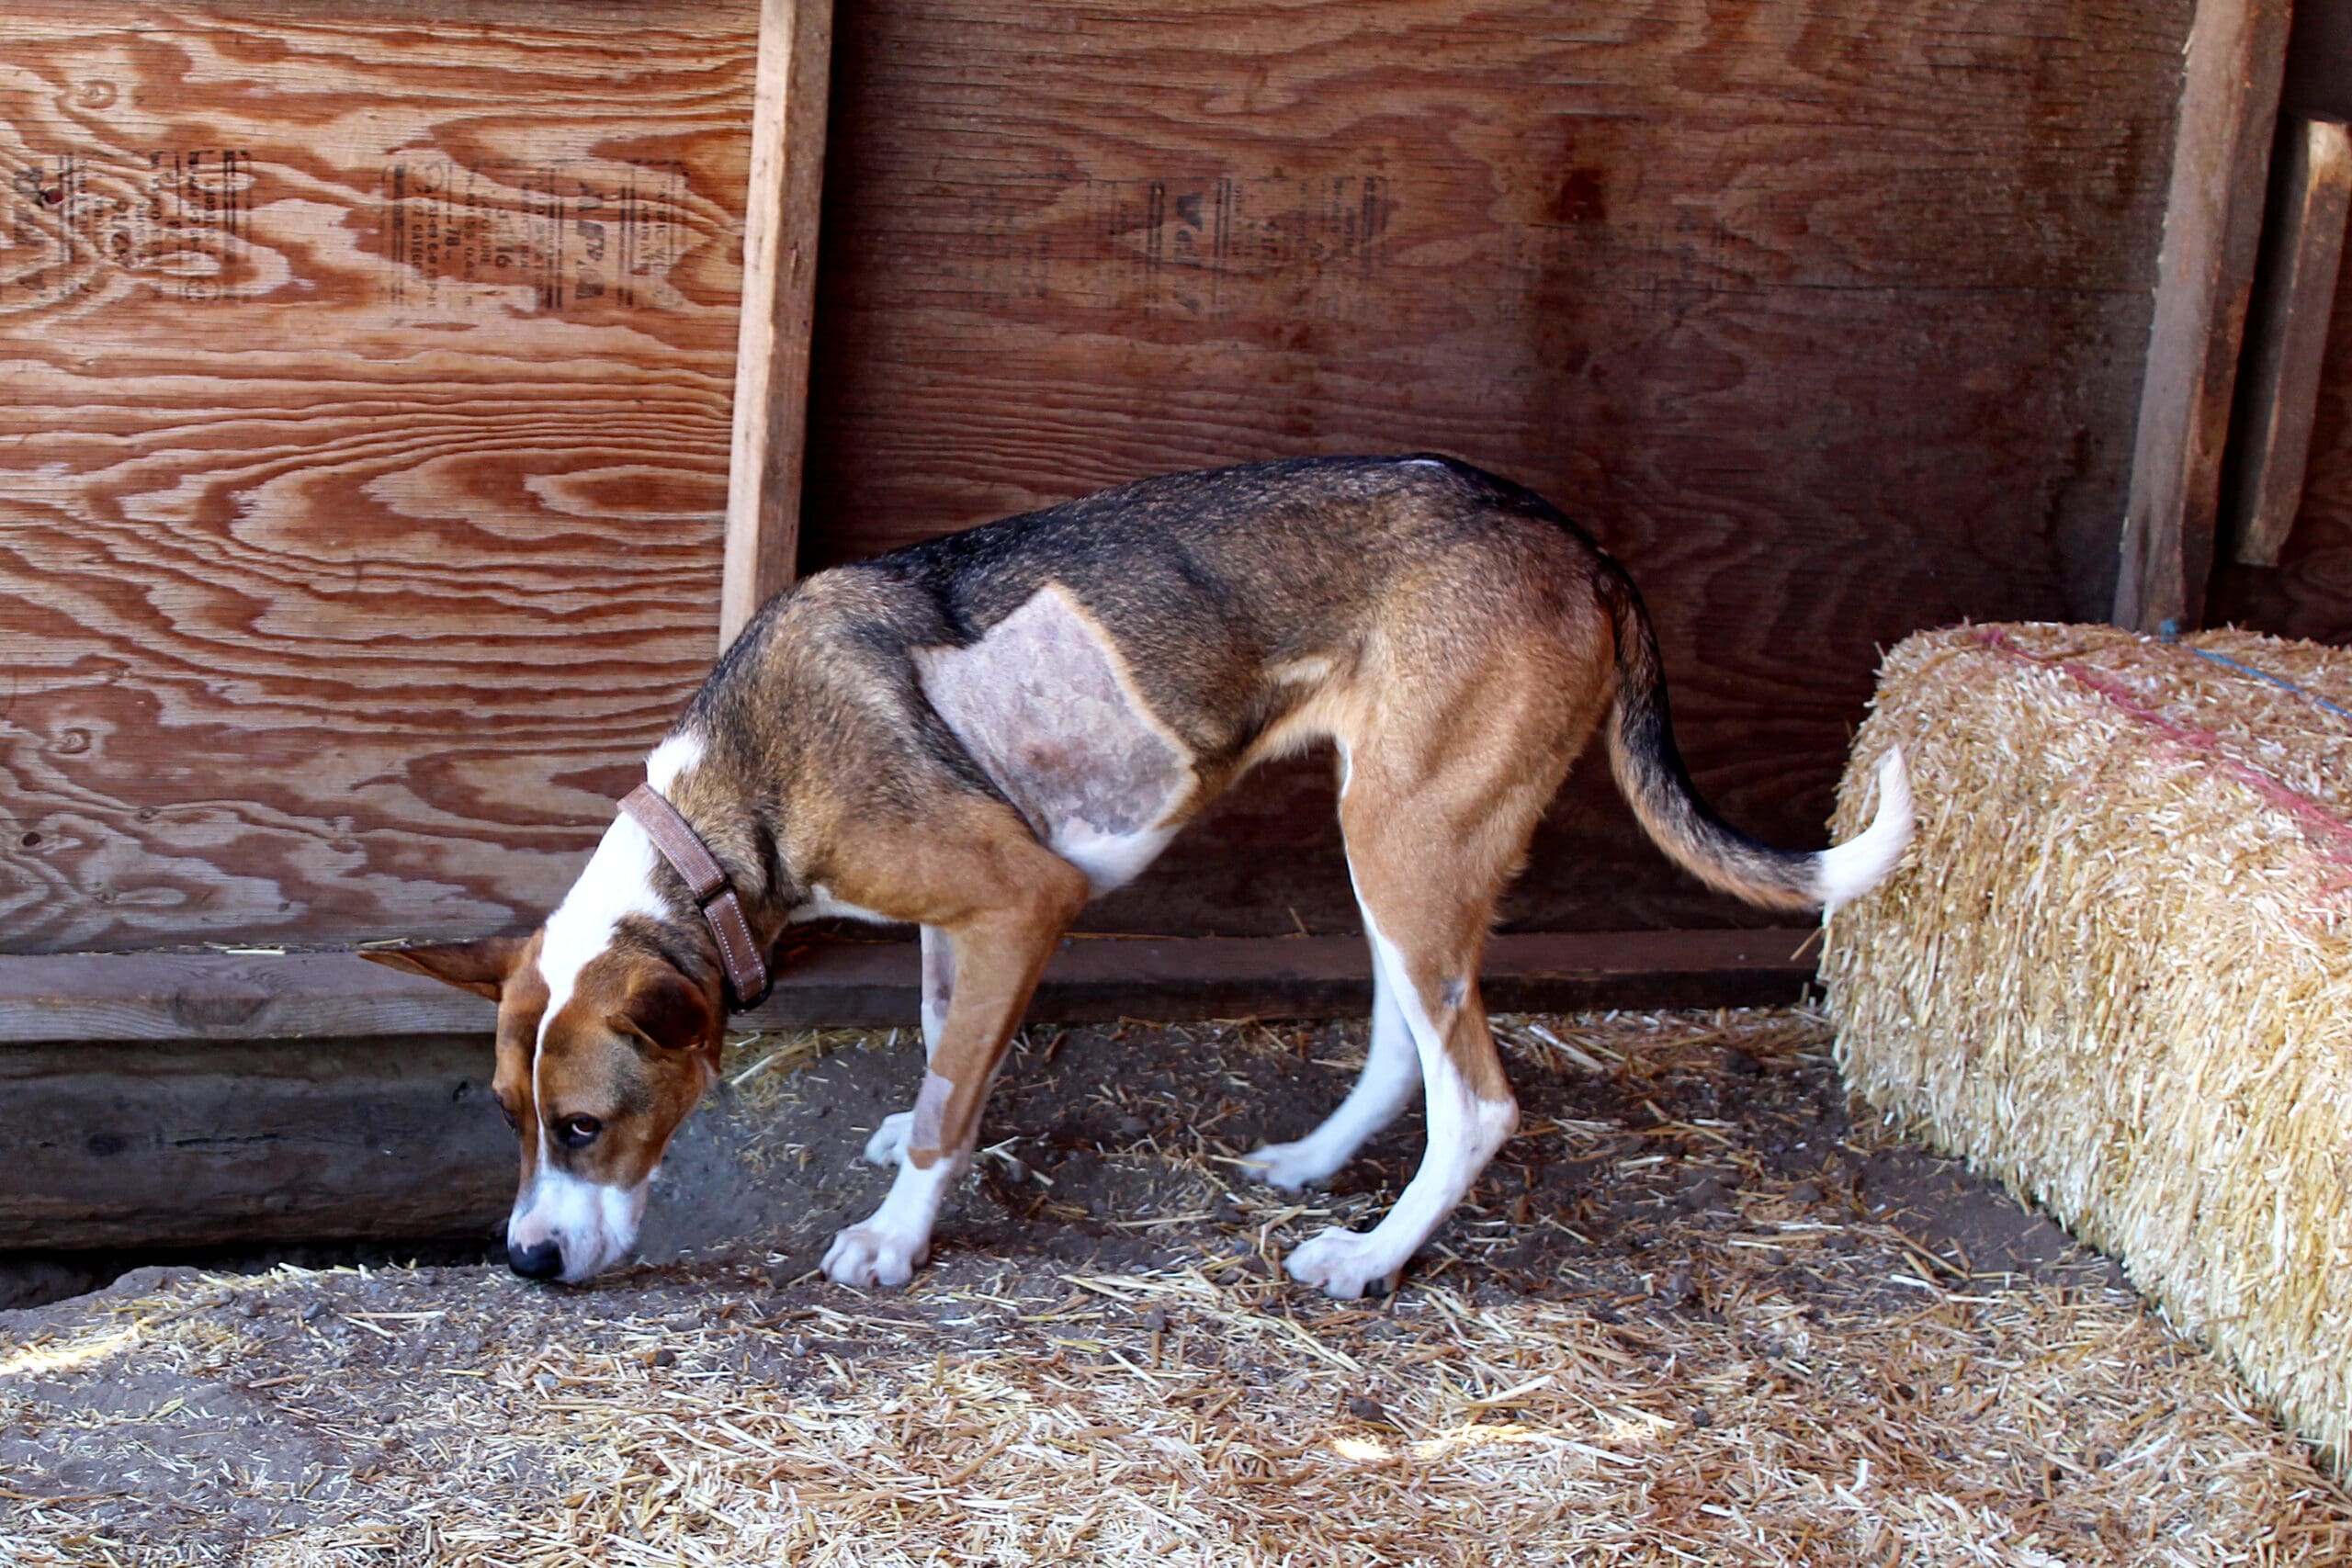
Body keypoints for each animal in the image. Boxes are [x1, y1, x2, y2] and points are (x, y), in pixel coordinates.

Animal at [368, 455, 1912, 1298]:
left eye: (582, 1125)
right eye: (508, 1117)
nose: (523, 1259)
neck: (731, 796)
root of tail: (1576, 539)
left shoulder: (1018, 897)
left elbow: (953, 1094)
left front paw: (897, 1233)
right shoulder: (956, 921)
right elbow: (942, 1040)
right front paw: (915, 1136)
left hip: (1407, 841)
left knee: (1478, 1096)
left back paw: (1368, 1255)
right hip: (1391, 841)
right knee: (1406, 1048)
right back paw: (1313, 1165)